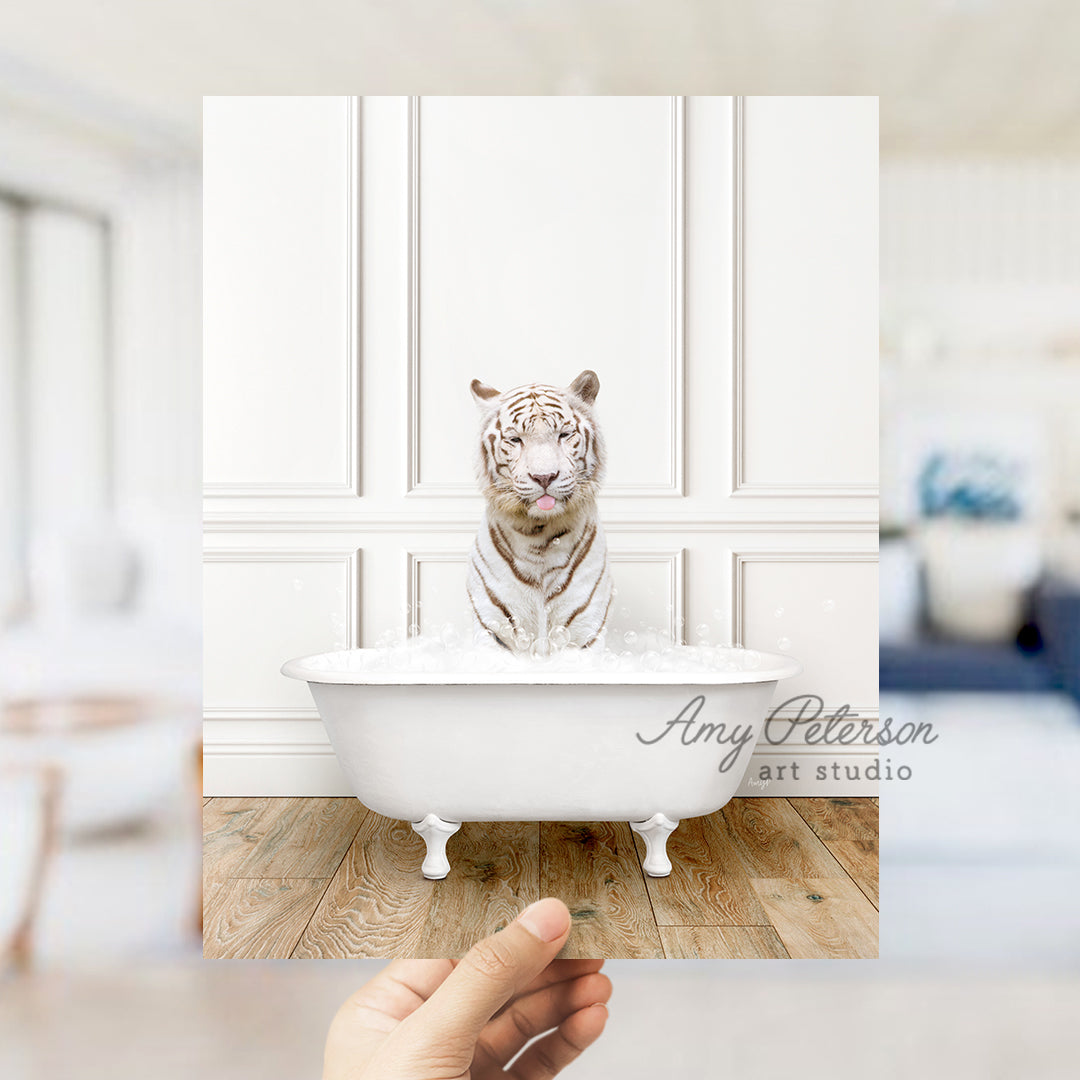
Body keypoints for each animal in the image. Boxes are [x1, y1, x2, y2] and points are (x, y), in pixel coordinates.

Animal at [466, 371, 613, 652]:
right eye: (515, 439)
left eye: (564, 435)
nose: (544, 477)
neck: (539, 536)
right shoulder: (494, 629)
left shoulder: (585, 633)